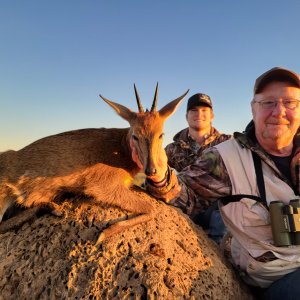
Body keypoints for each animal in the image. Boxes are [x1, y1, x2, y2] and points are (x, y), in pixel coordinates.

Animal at [0, 84, 188, 241]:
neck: (121, 147)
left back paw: (52, 206)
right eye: (135, 135)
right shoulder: (101, 187)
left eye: (161, 134)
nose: (151, 170)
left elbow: (151, 208)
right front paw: (104, 234)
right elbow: (151, 208)